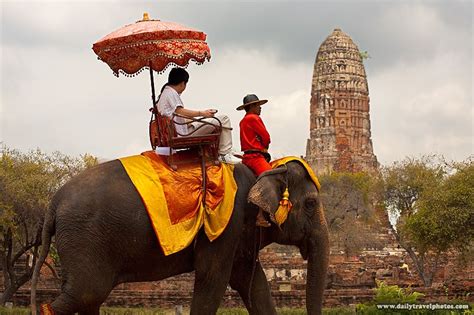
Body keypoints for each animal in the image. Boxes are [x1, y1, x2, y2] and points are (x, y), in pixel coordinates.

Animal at [30, 160, 330, 315]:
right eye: (311, 203)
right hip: (85, 239)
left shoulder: (240, 235)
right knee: (85, 294)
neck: (263, 169)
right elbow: (212, 279)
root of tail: (53, 203)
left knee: (87, 298)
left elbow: (252, 283)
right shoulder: (225, 225)